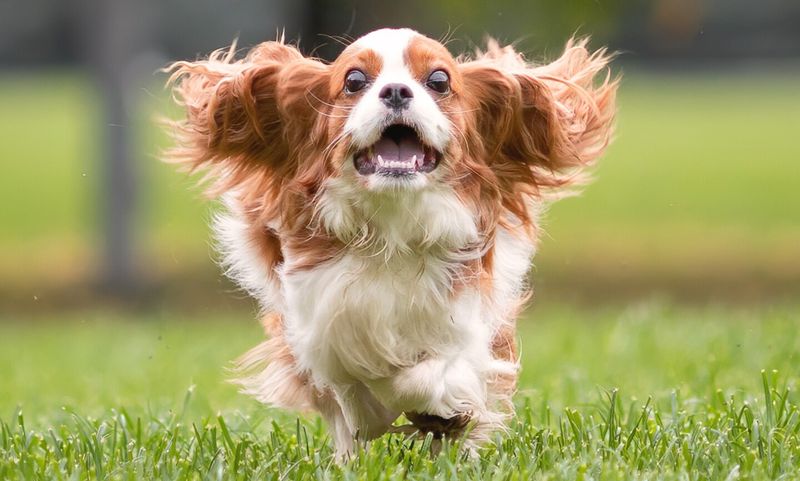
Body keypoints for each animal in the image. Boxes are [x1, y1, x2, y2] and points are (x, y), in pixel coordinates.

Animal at [166, 28, 620, 456]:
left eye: (439, 80)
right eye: (354, 80)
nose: (397, 90)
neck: (393, 227)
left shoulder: (468, 318)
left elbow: (428, 378)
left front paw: (440, 413)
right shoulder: (318, 323)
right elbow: (351, 387)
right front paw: (375, 414)